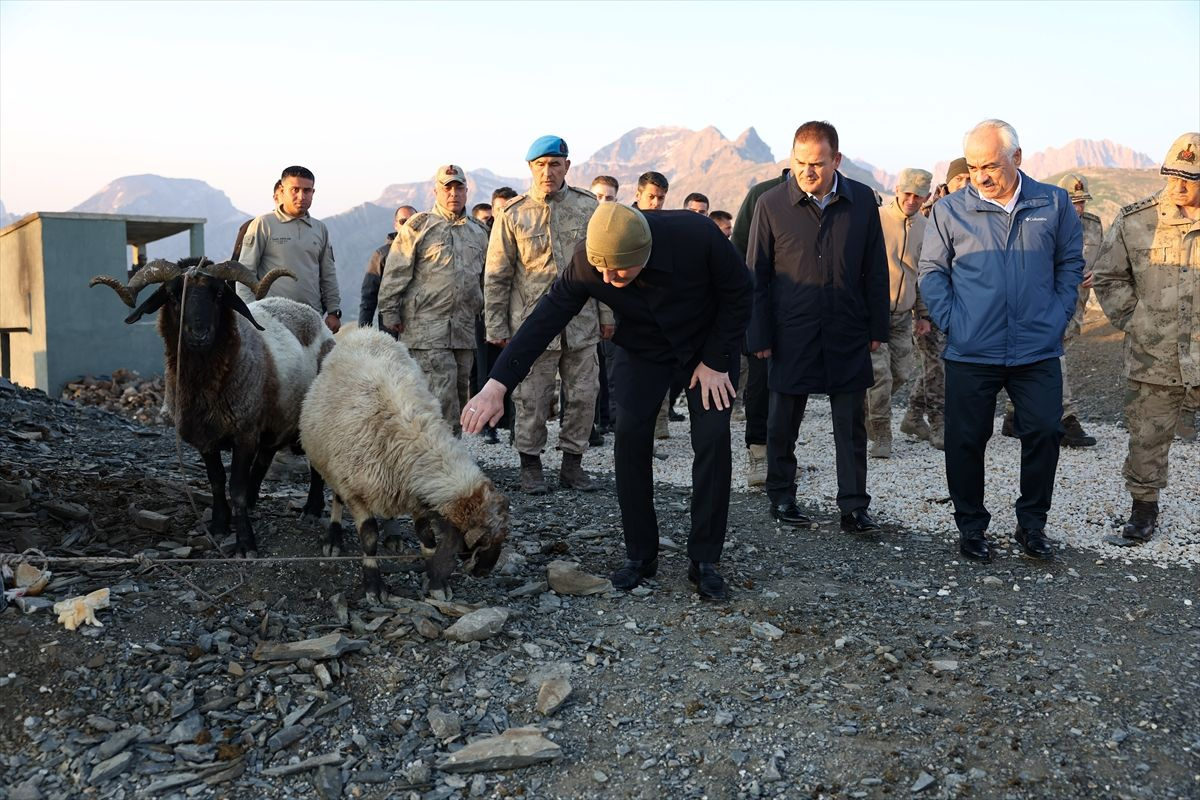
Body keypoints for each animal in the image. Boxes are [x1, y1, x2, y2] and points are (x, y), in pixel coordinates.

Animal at [302, 326, 508, 599]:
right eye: (481, 543)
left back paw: (393, 534)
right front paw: (374, 585)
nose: (484, 572)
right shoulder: (355, 490)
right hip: (333, 464)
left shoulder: (414, 495)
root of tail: (366, 330)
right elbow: (369, 536)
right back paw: (334, 538)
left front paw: (436, 581)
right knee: (336, 498)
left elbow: (427, 535)